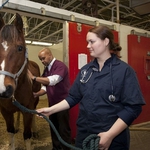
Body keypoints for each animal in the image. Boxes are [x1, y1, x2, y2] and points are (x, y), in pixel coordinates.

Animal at [0, 13, 40, 149]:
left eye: (20, 48)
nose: (3, 89)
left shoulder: (27, 111)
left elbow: (27, 135)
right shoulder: (5, 112)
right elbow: (11, 132)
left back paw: (35, 131)